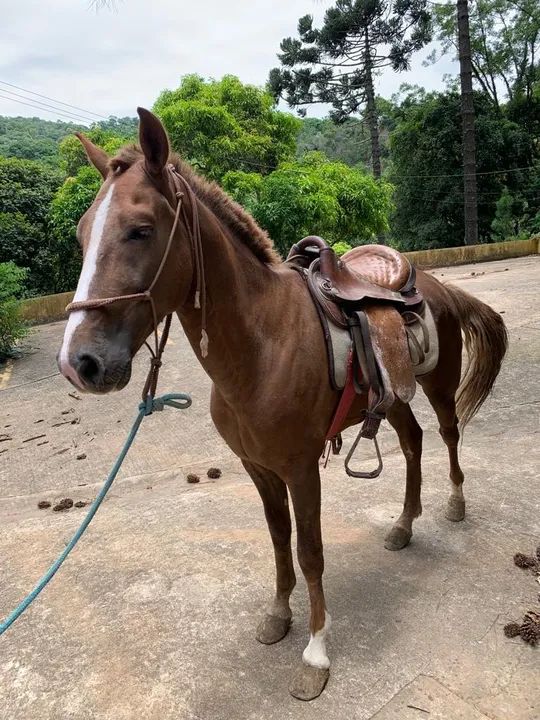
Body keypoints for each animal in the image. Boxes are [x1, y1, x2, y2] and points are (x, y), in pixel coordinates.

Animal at [57, 108, 508, 701]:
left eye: (141, 230)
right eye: (82, 233)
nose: (79, 363)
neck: (263, 343)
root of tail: (430, 282)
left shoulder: (299, 468)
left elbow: (310, 552)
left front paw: (315, 654)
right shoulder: (258, 467)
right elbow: (278, 541)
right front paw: (277, 616)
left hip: (437, 384)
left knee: (450, 434)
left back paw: (454, 504)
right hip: (394, 397)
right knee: (412, 443)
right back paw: (404, 525)